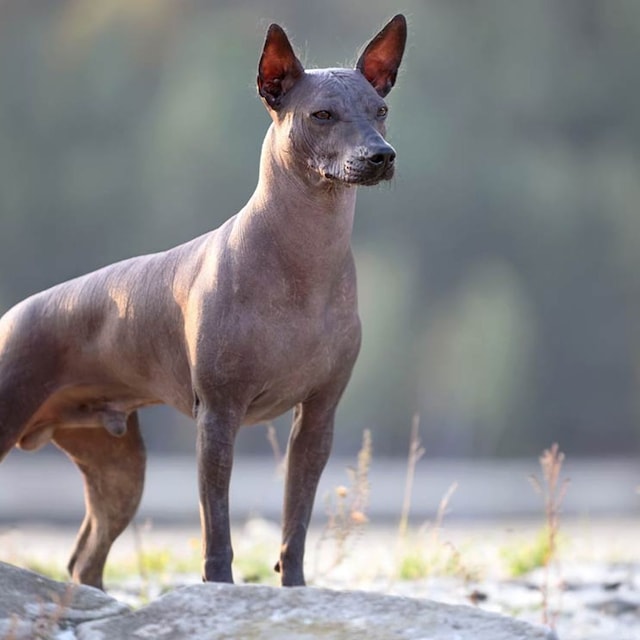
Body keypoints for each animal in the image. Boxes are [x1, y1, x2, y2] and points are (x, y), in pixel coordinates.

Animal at [0, 13, 408, 592]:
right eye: (322, 115)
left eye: (381, 111)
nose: (381, 156)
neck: (305, 259)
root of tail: (12, 315)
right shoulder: (218, 416)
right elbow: (216, 524)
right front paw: (220, 589)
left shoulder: (318, 419)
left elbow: (296, 521)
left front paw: (295, 590)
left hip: (118, 468)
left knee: (85, 559)